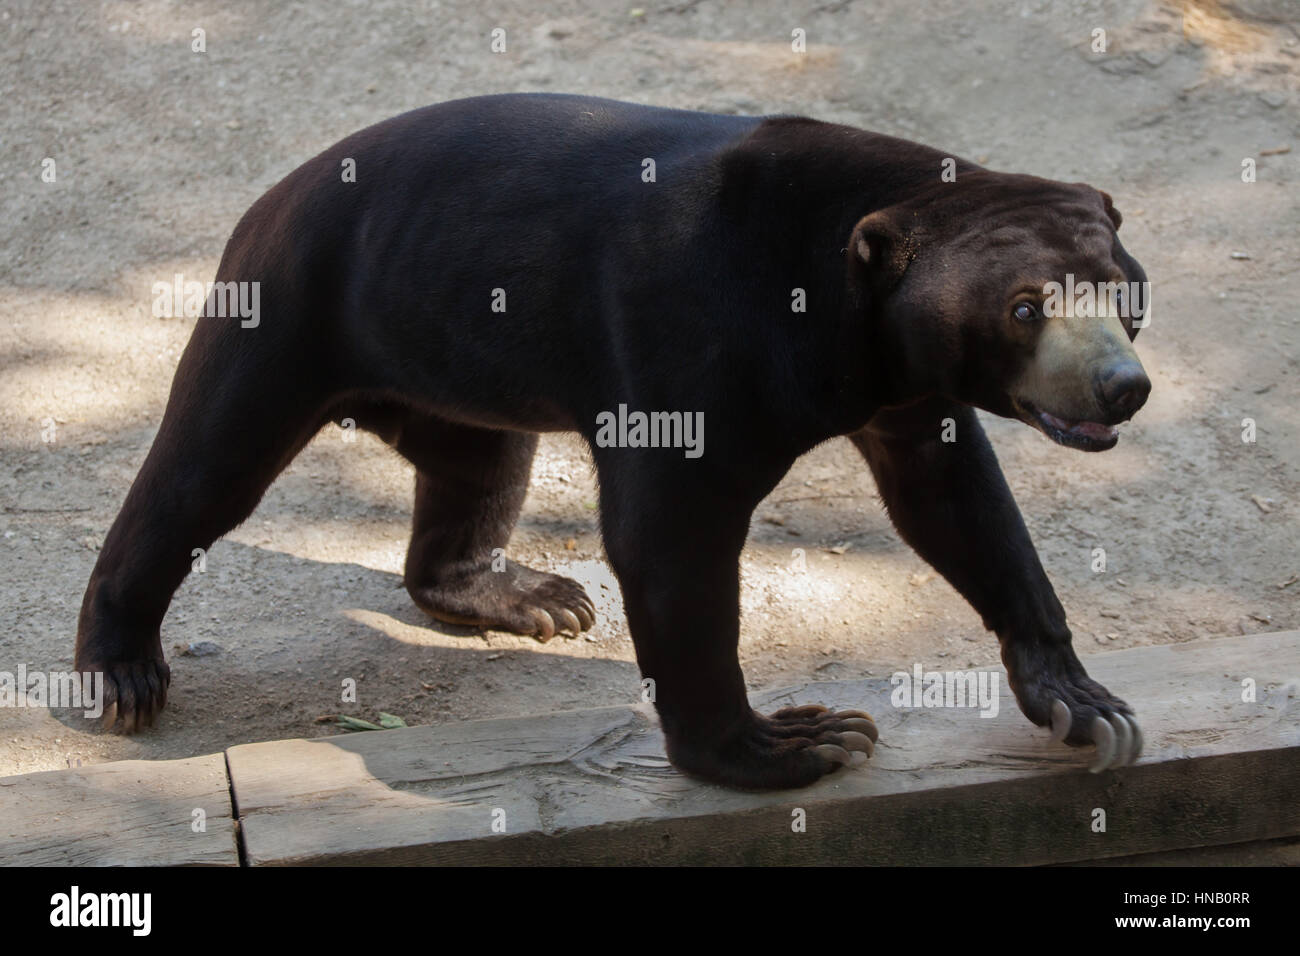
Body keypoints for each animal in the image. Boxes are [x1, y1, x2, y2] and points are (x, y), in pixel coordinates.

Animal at [75, 93, 1151, 789]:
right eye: (1025, 308)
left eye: (1122, 295)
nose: (1124, 388)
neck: (848, 307)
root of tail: (273, 193)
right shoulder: (695, 334)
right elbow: (669, 536)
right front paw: (803, 739)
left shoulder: (904, 388)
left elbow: (956, 501)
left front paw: (1087, 706)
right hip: (293, 307)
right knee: (204, 473)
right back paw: (122, 674)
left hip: (457, 355)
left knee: (478, 472)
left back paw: (535, 596)